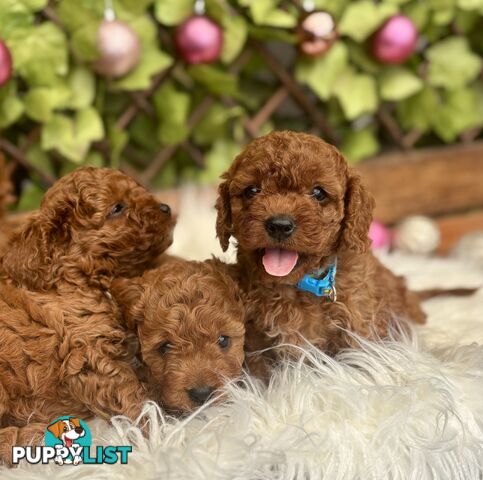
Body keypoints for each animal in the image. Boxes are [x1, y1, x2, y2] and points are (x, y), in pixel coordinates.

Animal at [216, 132, 428, 376]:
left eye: (318, 193)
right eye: (252, 190)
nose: (279, 225)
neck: (296, 285)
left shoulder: (358, 327)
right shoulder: (255, 340)